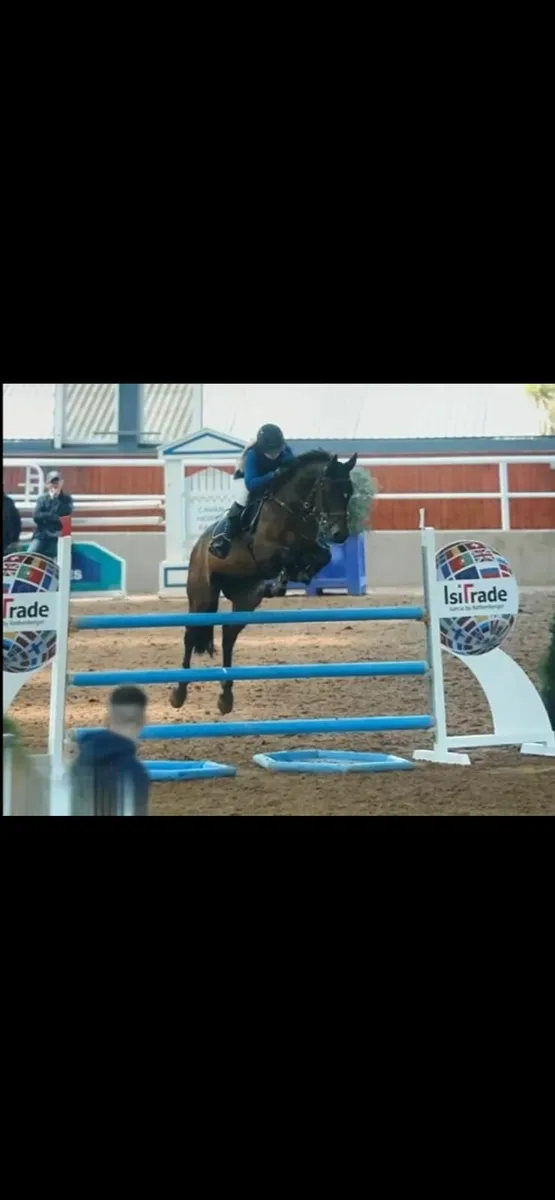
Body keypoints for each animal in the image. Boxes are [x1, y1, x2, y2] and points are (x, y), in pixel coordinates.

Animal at [170, 450, 358, 715]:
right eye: (327, 488)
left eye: (348, 491)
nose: (340, 534)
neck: (293, 510)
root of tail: (197, 547)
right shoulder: (264, 553)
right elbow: (287, 555)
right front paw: (285, 577)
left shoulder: (312, 547)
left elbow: (323, 556)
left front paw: (298, 575)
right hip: (201, 597)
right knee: (190, 635)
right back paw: (179, 693)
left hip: (245, 599)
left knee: (228, 635)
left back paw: (226, 696)